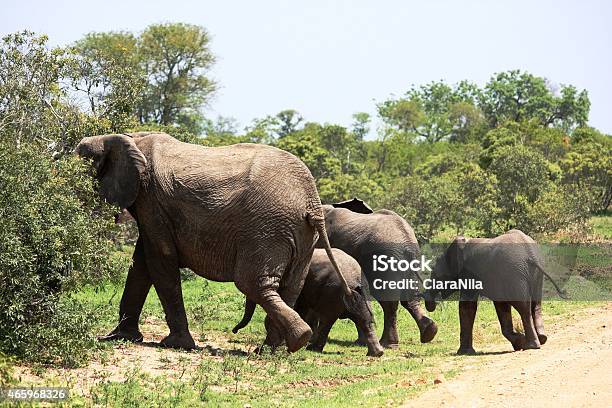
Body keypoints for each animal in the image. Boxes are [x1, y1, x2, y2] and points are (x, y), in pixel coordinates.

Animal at [75, 133, 354, 350]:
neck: (128, 137)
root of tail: (311, 201)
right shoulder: (151, 206)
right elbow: (142, 263)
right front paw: (119, 337)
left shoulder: (152, 200)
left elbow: (159, 259)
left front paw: (175, 344)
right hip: (300, 235)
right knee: (289, 287)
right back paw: (273, 349)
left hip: (267, 228)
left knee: (252, 283)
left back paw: (292, 341)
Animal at [233, 245, 382, 356]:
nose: (234, 330)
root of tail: (356, 279)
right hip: (360, 293)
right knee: (365, 319)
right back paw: (376, 353)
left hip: (333, 292)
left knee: (327, 320)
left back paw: (312, 348)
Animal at [314, 198, 438, 348]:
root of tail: (406, 242)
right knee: (408, 298)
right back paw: (429, 332)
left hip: (384, 257)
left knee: (388, 301)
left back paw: (388, 344)